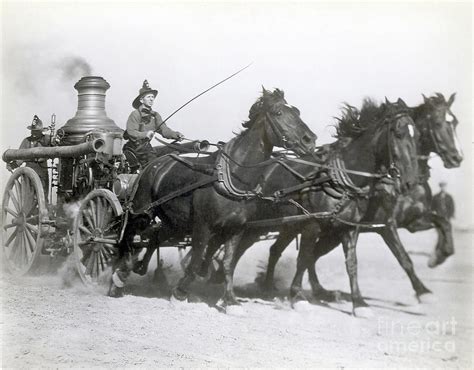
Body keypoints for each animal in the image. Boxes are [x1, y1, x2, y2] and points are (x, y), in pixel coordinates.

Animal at [109, 88, 316, 300]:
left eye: (297, 111)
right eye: (278, 112)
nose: (310, 139)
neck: (231, 175)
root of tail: (151, 165)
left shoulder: (237, 227)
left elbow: (228, 263)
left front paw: (229, 298)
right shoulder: (203, 226)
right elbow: (195, 262)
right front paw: (180, 292)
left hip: (175, 222)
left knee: (155, 236)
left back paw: (138, 268)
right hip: (142, 212)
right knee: (129, 237)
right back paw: (119, 276)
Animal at [198, 97, 420, 312]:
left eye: (415, 135)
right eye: (398, 133)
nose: (410, 181)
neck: (336, 179)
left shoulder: (348, 228)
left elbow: (351, 263)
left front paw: (358, 302)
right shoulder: (312, 226)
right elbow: (304, 258)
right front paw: (297, 295)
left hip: (286, 225)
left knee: (271, 250)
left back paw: (264, 285)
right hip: (256, 225)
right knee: (234, 247)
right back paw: (215, 277)